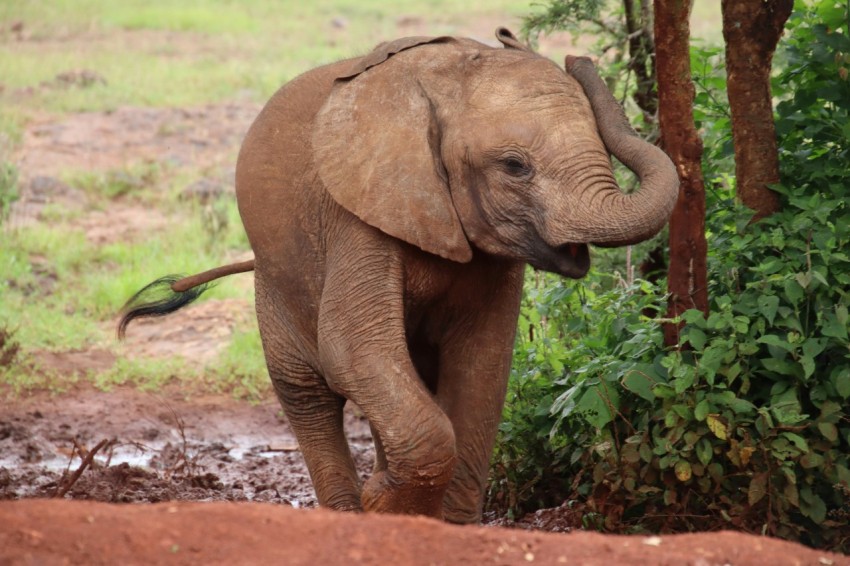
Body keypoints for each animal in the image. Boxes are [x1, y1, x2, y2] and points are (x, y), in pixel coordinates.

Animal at [117, 26, 676, 524]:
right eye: (515, 167)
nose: (577, 58)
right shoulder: (358, 213)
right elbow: (351, 347)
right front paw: (383, 507)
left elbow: (482, 362)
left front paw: (442, 526)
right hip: (276, 278)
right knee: (307, 390)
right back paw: (348, 515)